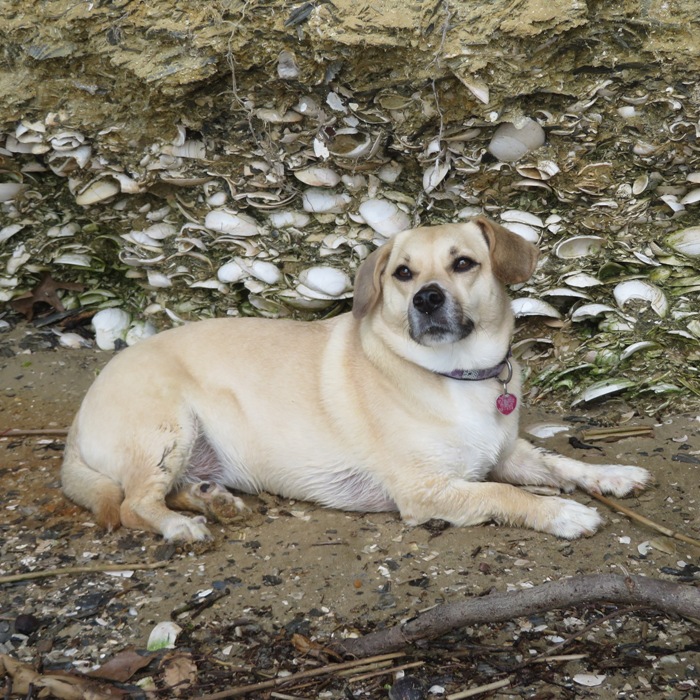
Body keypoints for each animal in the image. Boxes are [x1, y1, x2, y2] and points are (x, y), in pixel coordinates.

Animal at [60, 219, 652, 540]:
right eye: (403, 273)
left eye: (463, 263)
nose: (426, 298)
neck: (458, 374)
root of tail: (76, 419)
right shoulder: (427, 490)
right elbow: (507, 495)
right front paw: (563, 512)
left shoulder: (505, 454)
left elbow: (560, 462)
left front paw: (613, 474)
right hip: (168, 430)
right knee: (134, 504)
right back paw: (181, 525)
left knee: (169, 490)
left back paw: (212, 500)